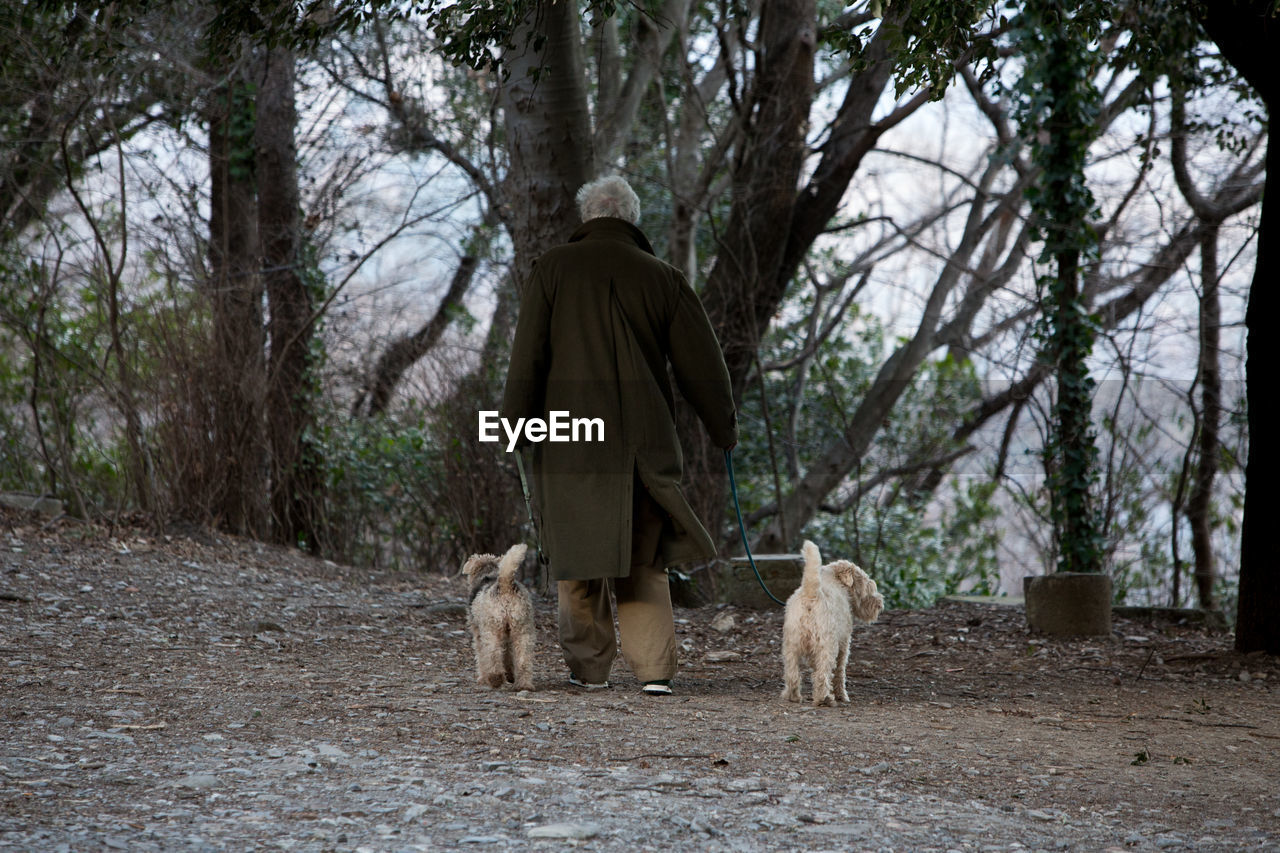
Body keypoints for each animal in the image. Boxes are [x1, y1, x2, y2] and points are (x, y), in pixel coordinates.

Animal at [460, 545, 535, 691]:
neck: (487, 575)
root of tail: (505, 585)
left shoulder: (478, 634)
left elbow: (482, 656)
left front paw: (482, 678)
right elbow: (507, 656)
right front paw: (510, 675)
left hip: (492, 629)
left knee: (493, 654)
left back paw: (495, 679)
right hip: (522, 630)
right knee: (524, 659)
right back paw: (524, 684)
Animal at [773, 537, 885, 701]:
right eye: (868, 586)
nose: (880, 604)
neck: (833, 579)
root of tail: (811, 594)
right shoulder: (844, 643)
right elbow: (839, 672)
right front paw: (842, 694)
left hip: (791, 646)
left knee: (792, 674)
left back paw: (792, 695)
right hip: (827, 645)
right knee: (823, 674)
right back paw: (824, 698)